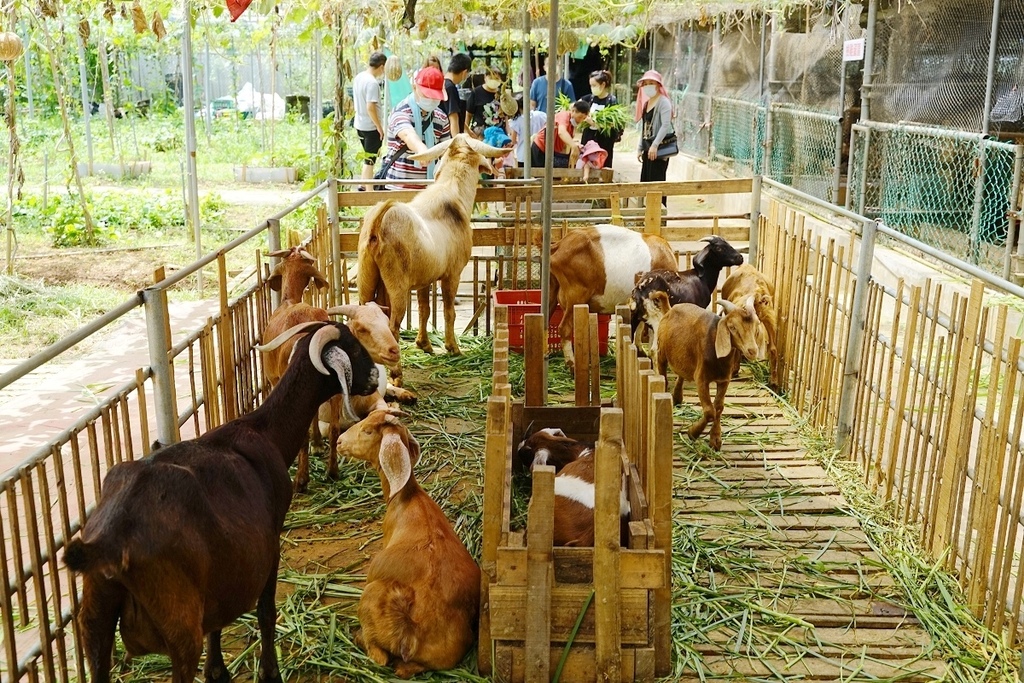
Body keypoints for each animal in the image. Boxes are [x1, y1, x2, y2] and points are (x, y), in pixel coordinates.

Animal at [66, 323, 382, 683]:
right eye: (353, 349)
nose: (375, 376)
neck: (264, 431)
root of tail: (110, 540)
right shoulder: (271, 545)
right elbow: (266, 612)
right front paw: (270, 672)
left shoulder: (219, 576)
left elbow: (216, 622)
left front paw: (217, 669)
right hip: (179, 626)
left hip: (95, 622)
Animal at [335, 409, 479, 679]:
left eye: (368, 430)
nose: (338, 442)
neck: (408, 497)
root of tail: (412, 632)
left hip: (371, 596)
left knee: (379, 656)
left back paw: (357, 637)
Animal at [358, 135, 509, 385]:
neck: (453, 197)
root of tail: (377, 224)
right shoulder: (452, 274)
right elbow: (448, 311)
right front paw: (453, 347)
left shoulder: (424, 279)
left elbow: (425, 309)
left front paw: (424, 344)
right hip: (397, 286)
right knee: (393, 327)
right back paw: (397, 375)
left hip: (367, 281)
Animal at [548, 225, 675, 370]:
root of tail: (560, 245)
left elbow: (640, 325)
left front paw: (640, 349)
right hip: (575, 296)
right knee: (564, 328)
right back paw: (572, 364)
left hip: (552, 291)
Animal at [647, 290, 761, 450]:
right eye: (732, 327)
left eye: (756, 325)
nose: (752, 351)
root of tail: (669, 310)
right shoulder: (701, 379)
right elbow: (709, 411)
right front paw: (693, 433)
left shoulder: (724, 380)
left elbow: (718, 407)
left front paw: (715, 440)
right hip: (662, 351)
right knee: (663, 370)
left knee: (681, 372)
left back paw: (677, 398)